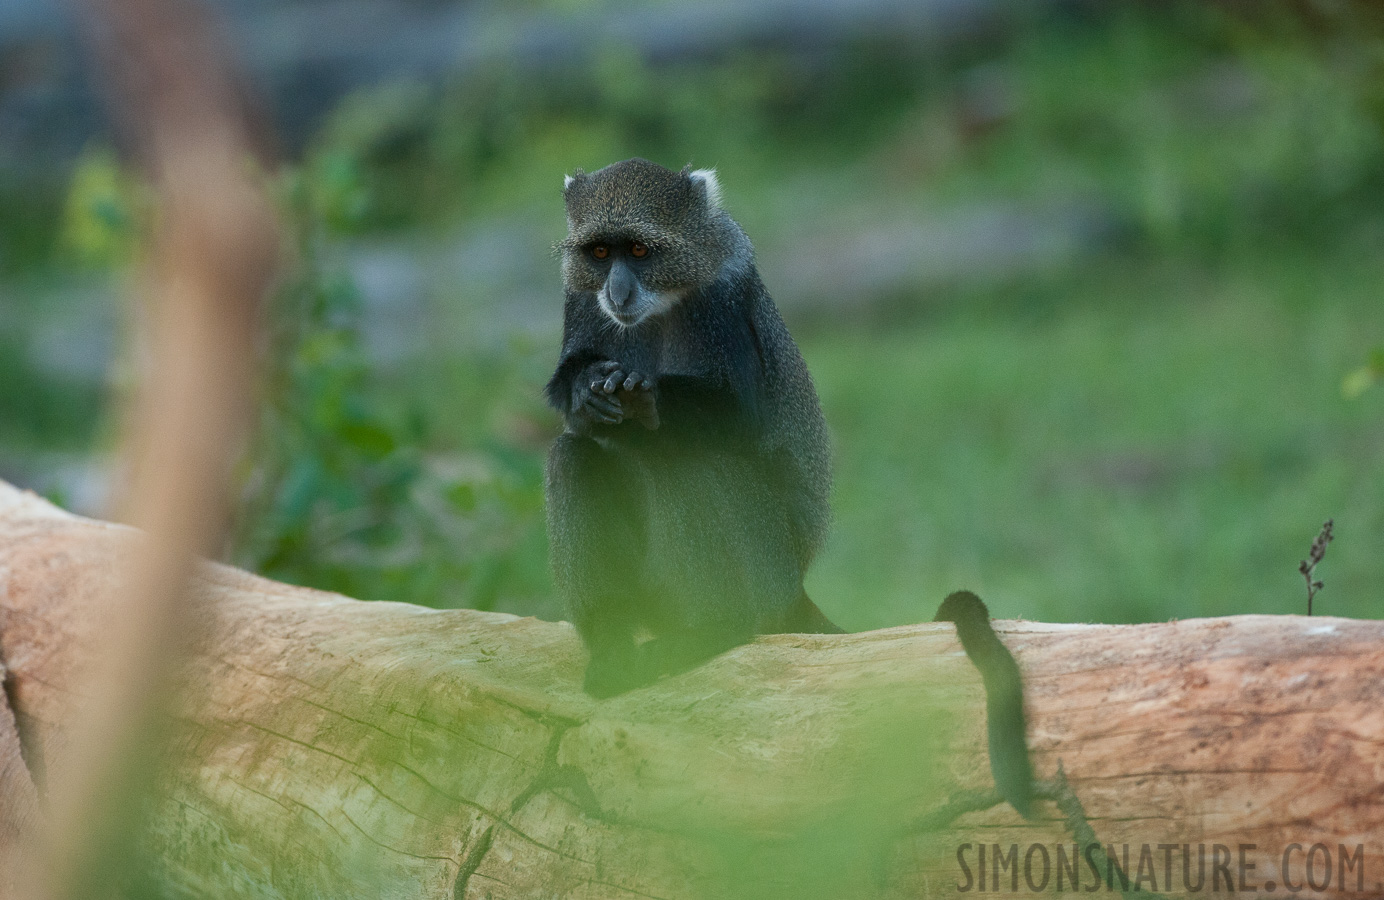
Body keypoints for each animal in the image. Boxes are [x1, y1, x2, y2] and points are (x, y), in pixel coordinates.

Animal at [545, 157, 1035, 814]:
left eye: (641, 250)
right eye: (600, 252)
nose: (618, 292)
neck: (661, 303)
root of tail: (793, 588)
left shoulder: (722, 298)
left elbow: (737, 417)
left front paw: (644, 403)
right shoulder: (580, 297)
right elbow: (574, 417)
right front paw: (586, 391)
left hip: (765, 565)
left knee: (685, 457)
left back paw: (712, 629)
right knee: (573, 455)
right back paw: (613, 646)